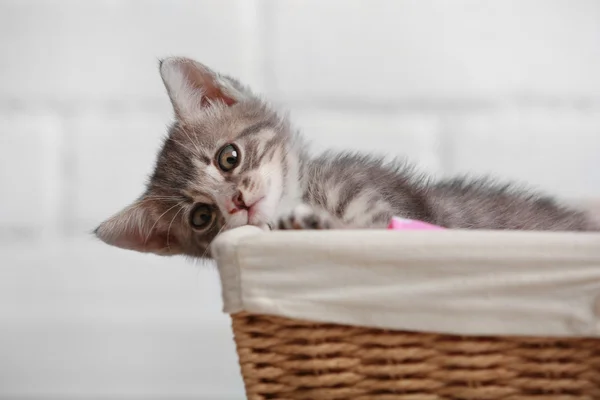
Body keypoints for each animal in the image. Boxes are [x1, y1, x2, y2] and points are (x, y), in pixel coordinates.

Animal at [94, 56, 600, 258]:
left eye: (228, 157)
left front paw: (313, 225)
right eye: (201, 218)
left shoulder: (384, 209)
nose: (236, 202)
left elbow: (365, 228)